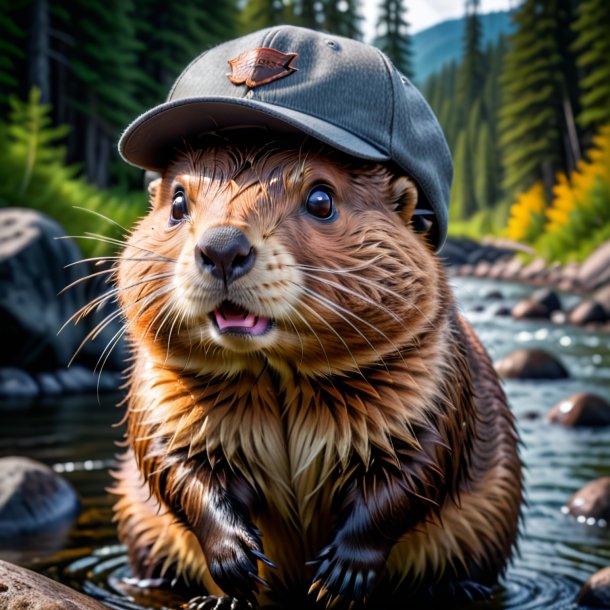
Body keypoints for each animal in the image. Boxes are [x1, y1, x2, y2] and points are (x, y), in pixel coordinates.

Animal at [109, 23, 516, 608]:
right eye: (178, 202)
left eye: (321, 199)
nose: (223, 248)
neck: (278, 380)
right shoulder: (161, 389)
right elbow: (173, 462)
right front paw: (235, 565)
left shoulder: (437, 374)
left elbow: (421, 465)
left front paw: (338, 574)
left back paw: (454, 590)